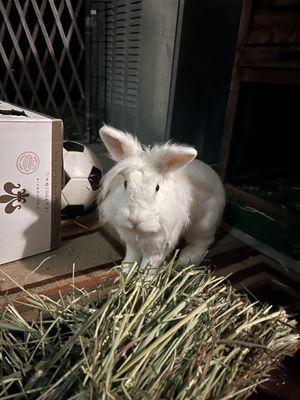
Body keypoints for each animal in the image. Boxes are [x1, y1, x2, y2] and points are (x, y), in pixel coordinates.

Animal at [98, 125, 225, 272]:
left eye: (157, 188)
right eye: (125, 183)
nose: (135, 220)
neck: (139, 232)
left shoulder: (157, 247)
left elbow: (149, 265)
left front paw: (143, 277)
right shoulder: (132, 243)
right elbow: (131, 258)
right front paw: (125, 271)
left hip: (203, 225)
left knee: (203, 242)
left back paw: (186, 258)